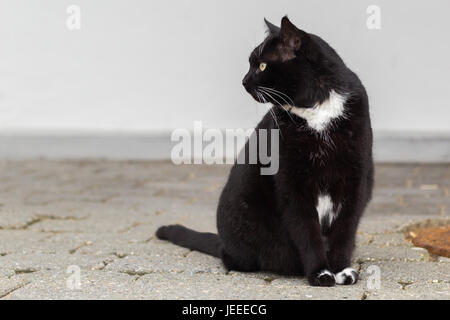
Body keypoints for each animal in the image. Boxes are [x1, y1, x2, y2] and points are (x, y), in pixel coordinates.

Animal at [156, 16, 374, 286]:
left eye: (261, 66)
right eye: (251, 65)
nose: (243, 81)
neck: (317, 110)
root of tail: (224, 243)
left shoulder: (356, 178)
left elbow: (345, 230)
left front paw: (342, 270)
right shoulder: (291, 182)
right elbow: (306, 231)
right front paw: (320, 273)